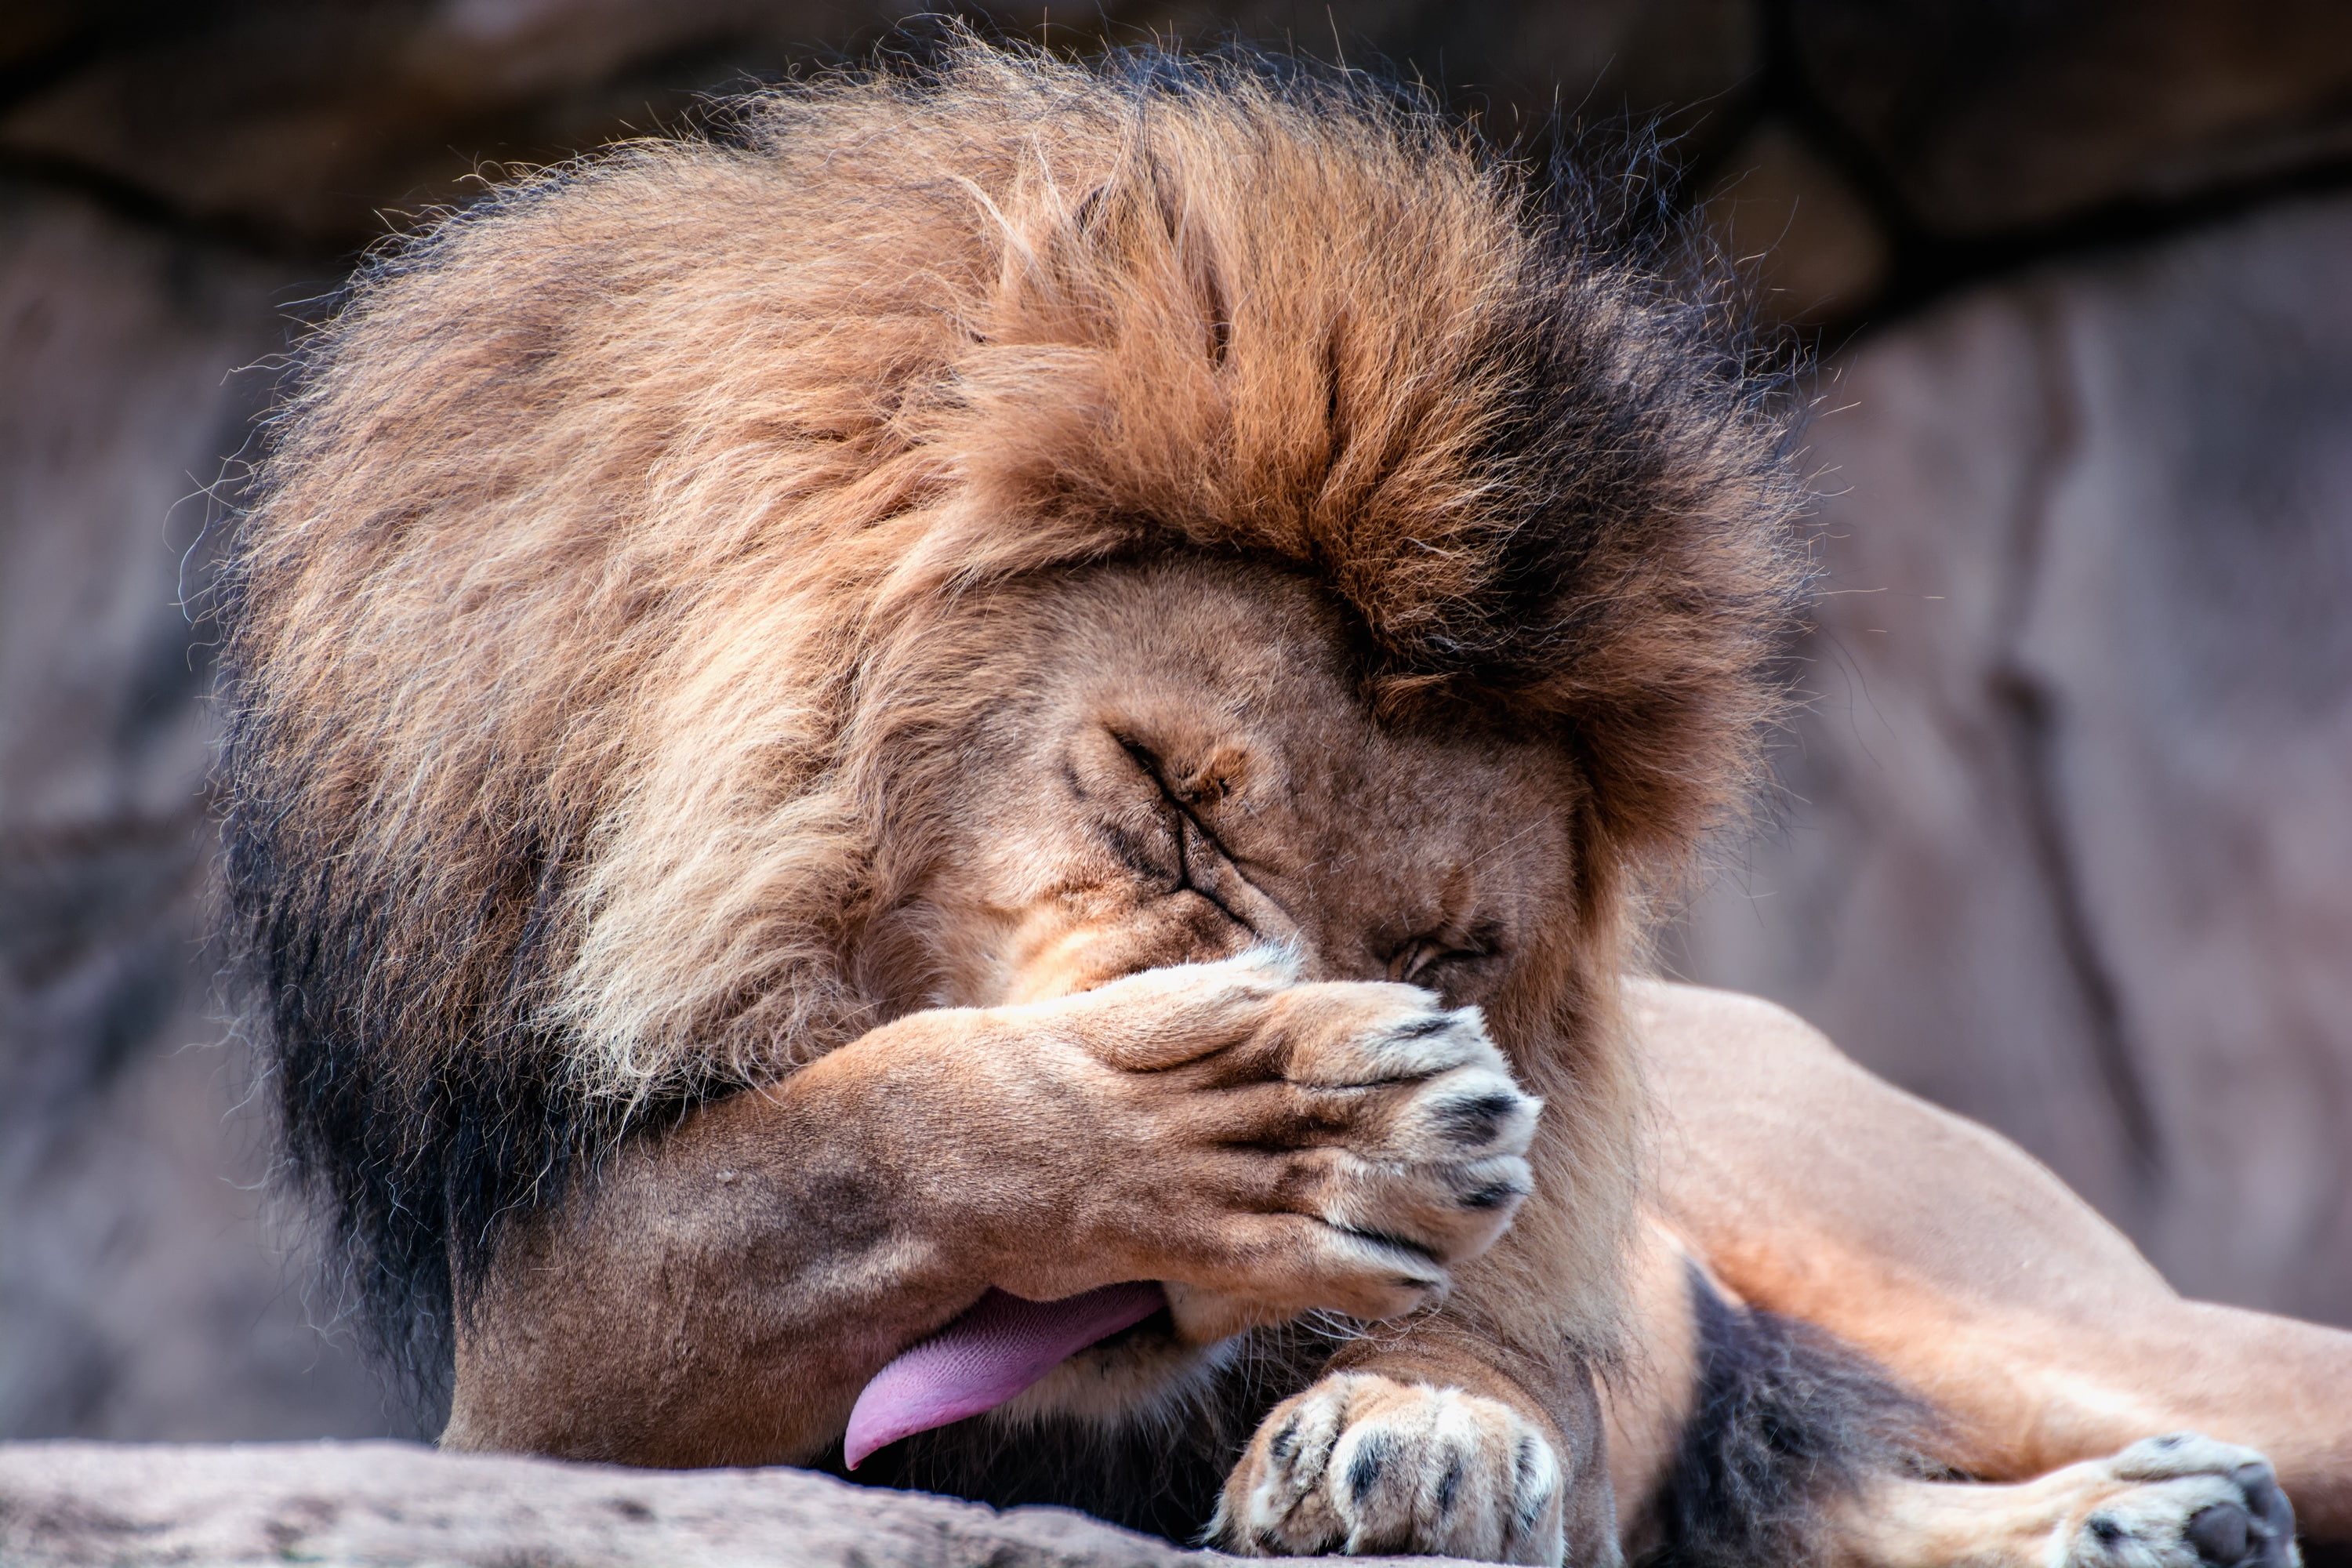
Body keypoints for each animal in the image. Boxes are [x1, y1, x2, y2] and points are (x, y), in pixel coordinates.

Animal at [218, 37, 2350, 1568]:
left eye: (1454, 949)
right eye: (1163, 801)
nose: (1383, 1038)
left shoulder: (1570, 1254)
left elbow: (1525, 1338)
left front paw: (1417, 1417)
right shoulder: (525, 1372)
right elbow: (840, 1140)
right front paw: (1282, 1119)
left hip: (2017, 1296)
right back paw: (2140, 1522)